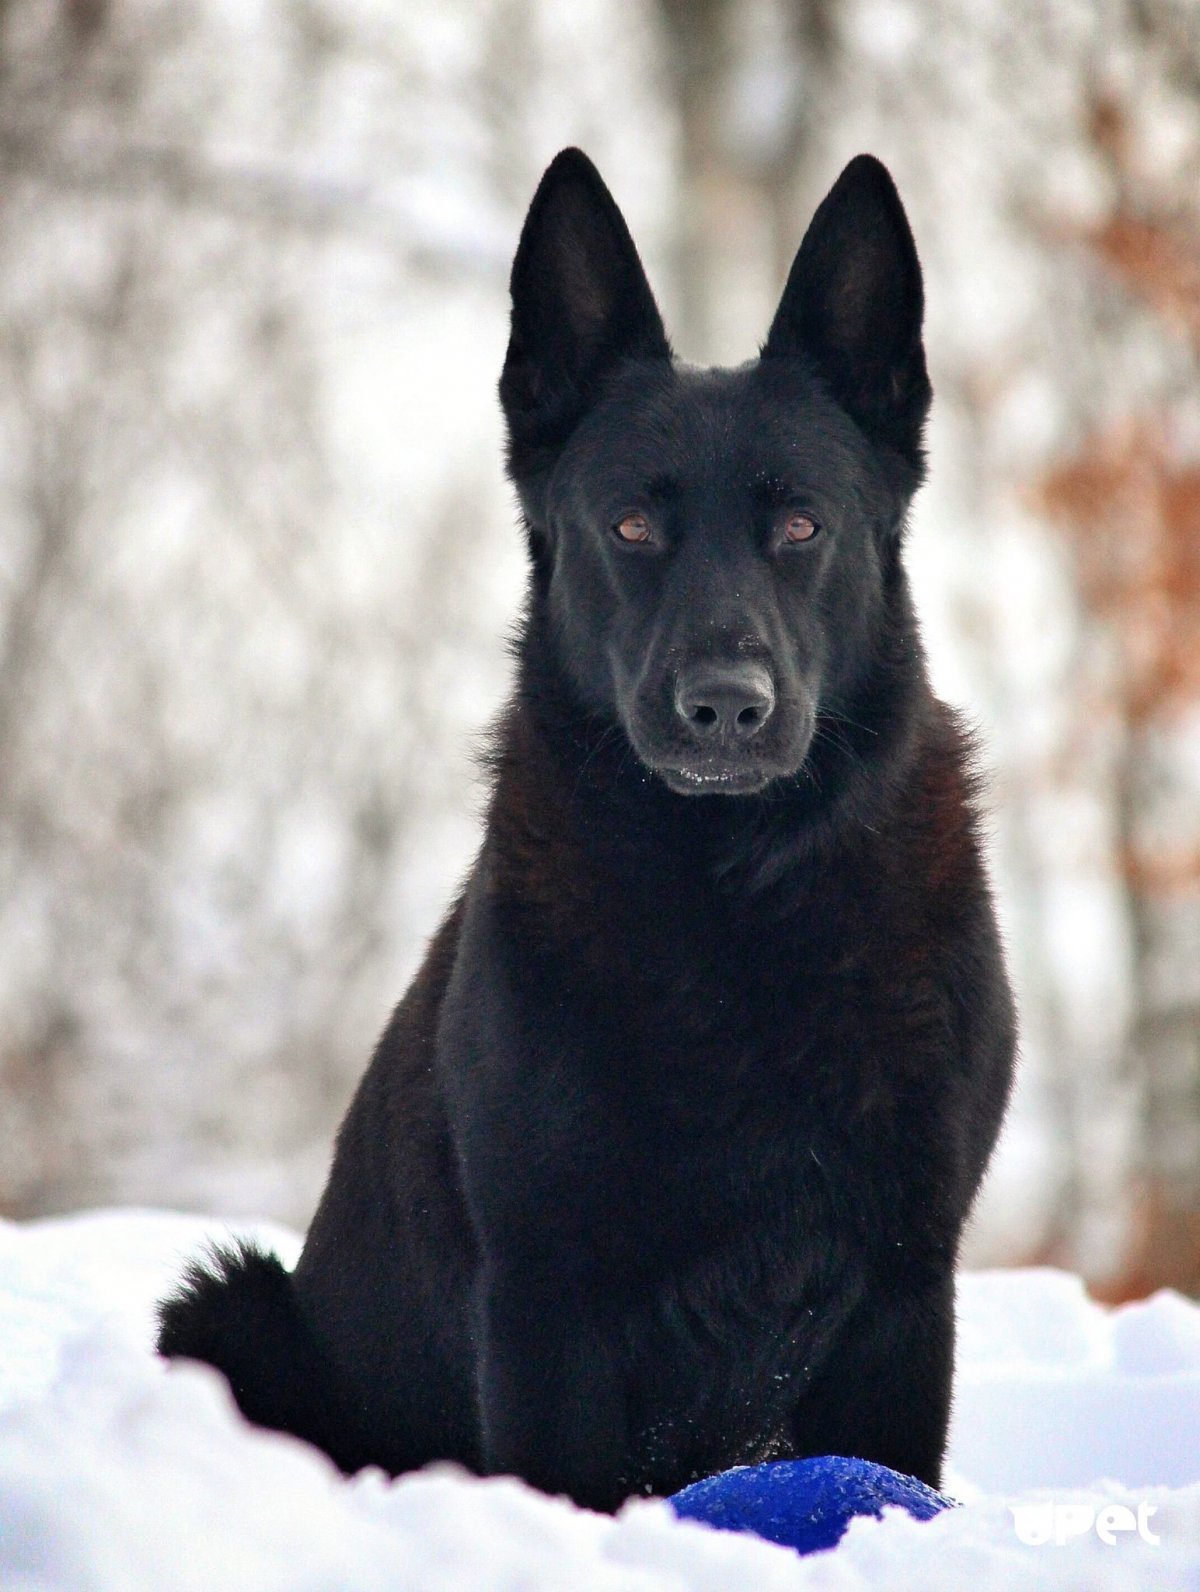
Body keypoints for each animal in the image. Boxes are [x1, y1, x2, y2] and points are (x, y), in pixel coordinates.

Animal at [159, 152, 1012, 1515]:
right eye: (630, 526)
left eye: (801, 526)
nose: (726, 704)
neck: (739, 902)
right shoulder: (546, 1303)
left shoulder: (905, 1287)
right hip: (228, 1304)